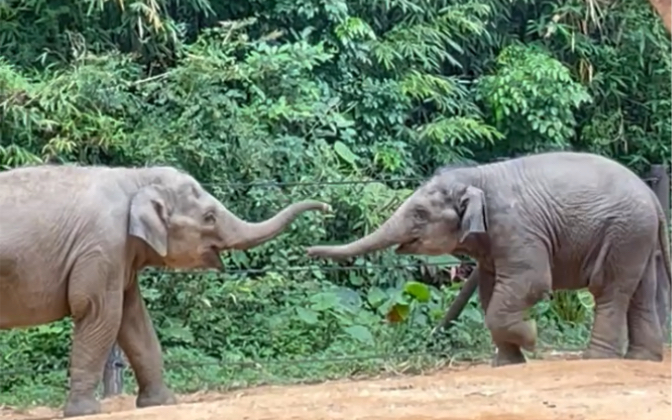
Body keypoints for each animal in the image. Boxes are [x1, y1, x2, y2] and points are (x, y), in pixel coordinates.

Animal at [0, 164, 330, 416]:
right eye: (209, 217)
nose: (326, 207)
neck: (135, 176)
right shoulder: (101, 248)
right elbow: (99, 313)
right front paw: (85, 412)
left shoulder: (121, 258)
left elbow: (134, 319)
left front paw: (161, 402)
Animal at [308, 152, 672, 368]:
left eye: (420, 213)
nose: (308, 251)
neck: (476, 176)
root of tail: (653, 198)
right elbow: (488, 291)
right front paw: (509, 364)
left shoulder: (517, 227)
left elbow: (531, 283)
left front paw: (531, 338)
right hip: (636, 237)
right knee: (640, 292)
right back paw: (643, 359)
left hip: (624, 232)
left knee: (609, 291)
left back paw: (596, 359)